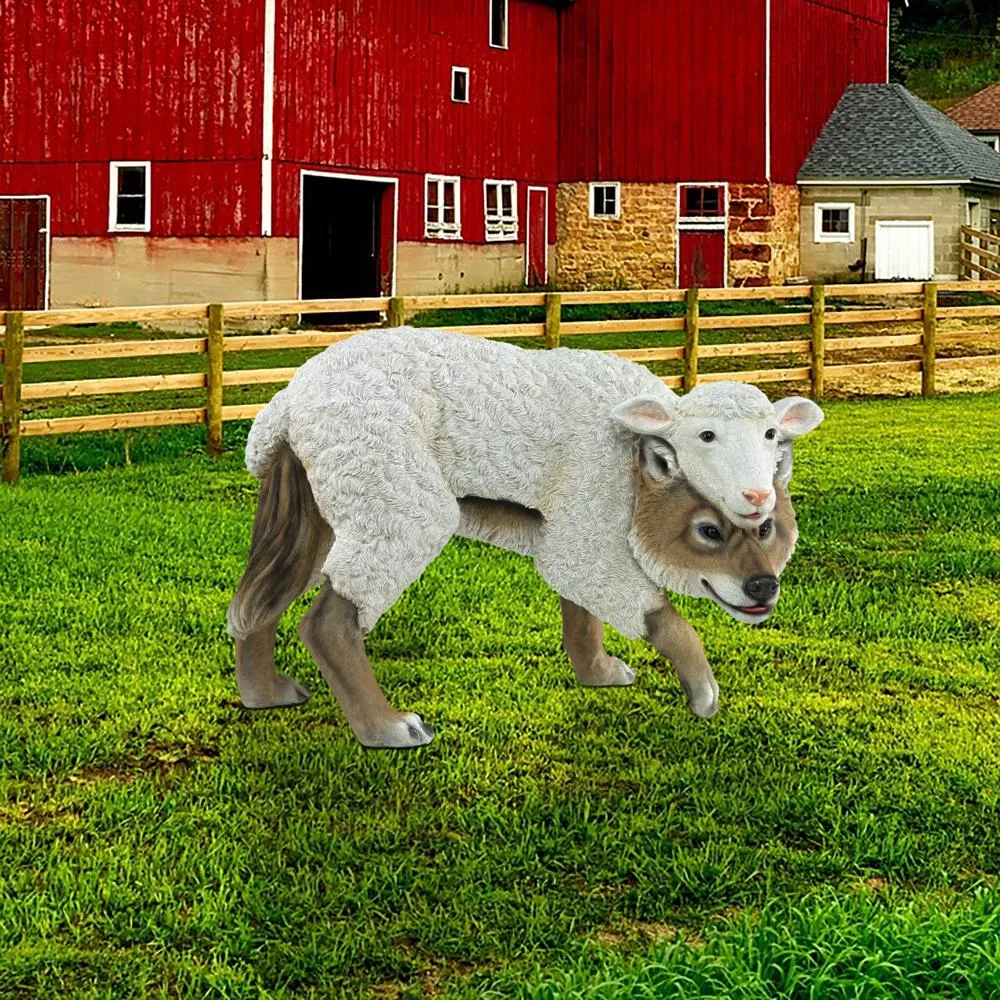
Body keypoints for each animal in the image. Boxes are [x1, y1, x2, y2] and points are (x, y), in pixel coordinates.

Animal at [228, 327, 822, 747]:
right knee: (328, 619)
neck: (635, 446)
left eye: (771, 434)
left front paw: (597, 672)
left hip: (321, 505)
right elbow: (658, 615)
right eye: (708, 531)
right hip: (389, 486)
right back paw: (385, 728)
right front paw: (702, 691)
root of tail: (288, 399)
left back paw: (264, 694)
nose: (763, 587)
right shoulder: (591, 491)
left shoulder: (578, 522)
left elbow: (581, 610)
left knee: (263, 597)